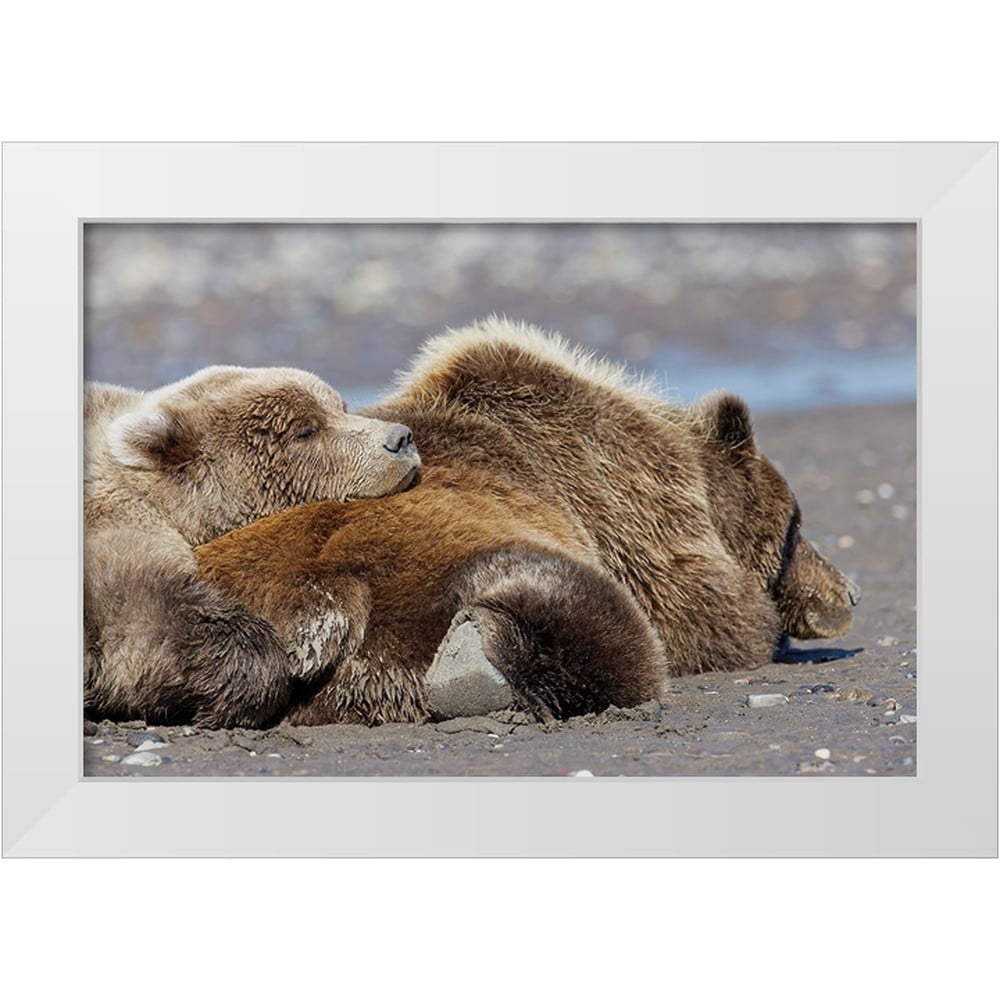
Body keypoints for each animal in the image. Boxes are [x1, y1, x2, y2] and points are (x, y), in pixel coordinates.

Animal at [195, 318, 861, 726]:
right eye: (797, 528)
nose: (850, 590)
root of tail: (325, 600)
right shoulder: (633, 511)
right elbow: (719, 620)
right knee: (610, 629)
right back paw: (478, 655)